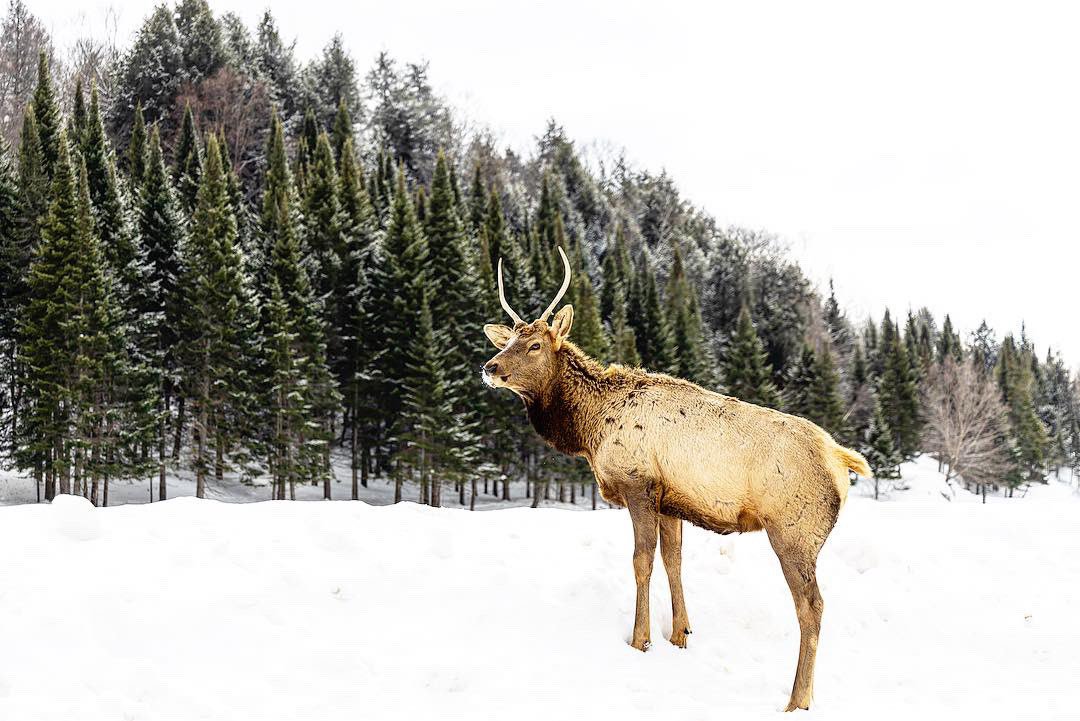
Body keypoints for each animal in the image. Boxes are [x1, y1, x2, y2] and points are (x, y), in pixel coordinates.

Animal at [481, 247, 869, 712]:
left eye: (535, 344)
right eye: (508, 341)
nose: (489, 367)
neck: (588, 430)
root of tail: (841, 461)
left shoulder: (638, 484)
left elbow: (641, 560)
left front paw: (641, 639)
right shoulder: (671, 500)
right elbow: (674, 560)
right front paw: (680, 634)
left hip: (794, 532)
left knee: (812, 606)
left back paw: (798, 699)